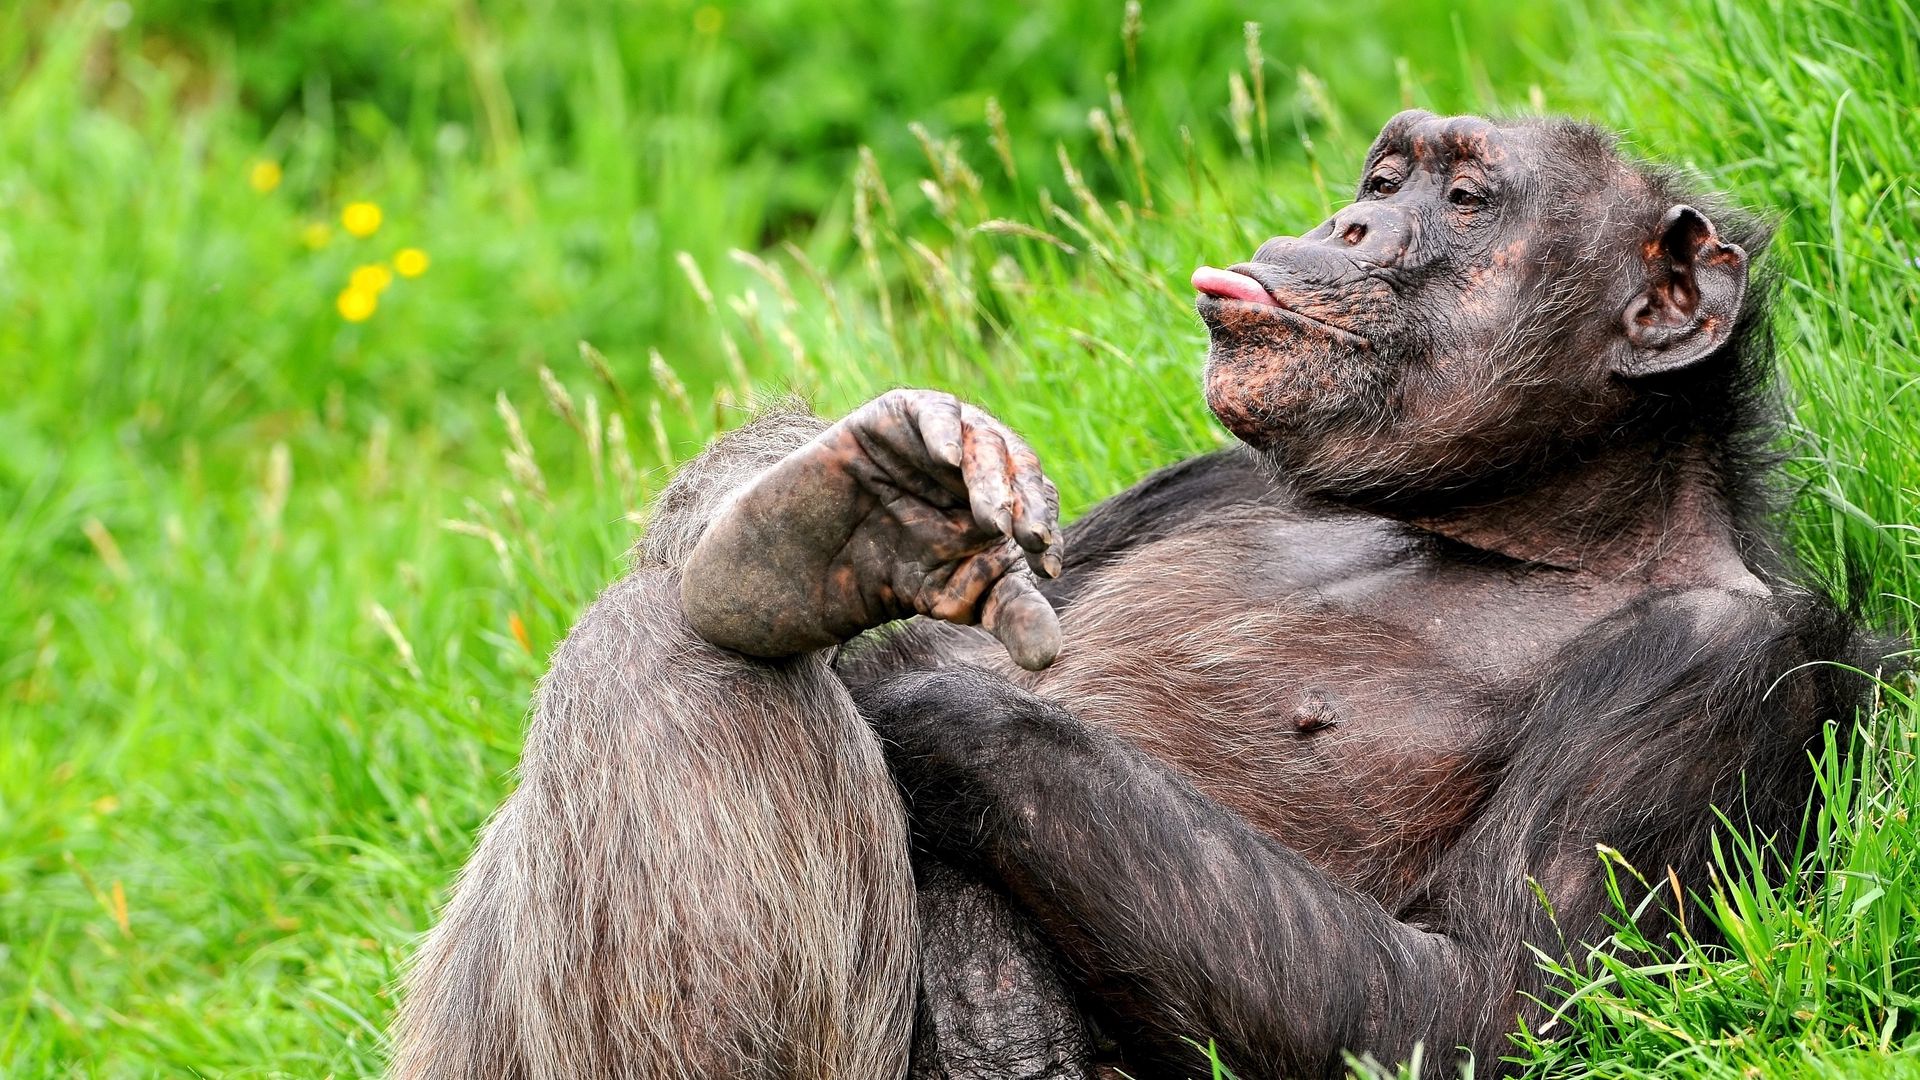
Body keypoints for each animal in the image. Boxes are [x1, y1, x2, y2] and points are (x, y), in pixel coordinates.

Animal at [389, 111, 1881, 1079]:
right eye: (1384, 174)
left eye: (1465, 204)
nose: (1351, 220)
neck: (1500, 525)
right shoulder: (1203, 479)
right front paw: (845, 508)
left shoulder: (1713, 670)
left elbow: (1477, 1008)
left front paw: (913, 675)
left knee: (676, 667)